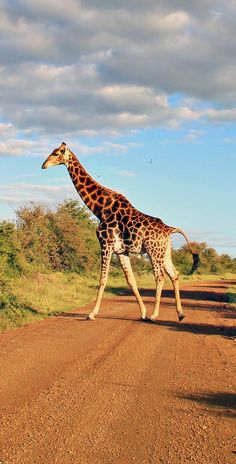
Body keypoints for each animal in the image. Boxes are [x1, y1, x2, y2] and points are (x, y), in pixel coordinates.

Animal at [41, 143, 198, 320]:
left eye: (57, 153)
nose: (43, 165)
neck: (100, 208)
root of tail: (169, 229)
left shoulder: (106, 244)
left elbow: (102, 279)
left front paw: (92, 313)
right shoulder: (121, 251)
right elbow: (131, 280)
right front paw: (143, 312)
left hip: (153, 251)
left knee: (160, 277)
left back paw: (155, 315)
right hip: (164, 252)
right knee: (174, 274)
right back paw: (180, 314)